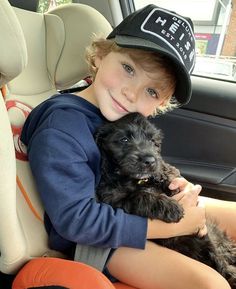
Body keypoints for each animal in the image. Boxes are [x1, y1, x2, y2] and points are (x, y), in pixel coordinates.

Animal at [95, 112, 236, 286]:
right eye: (124, 140)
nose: (150, 161)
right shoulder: (113, 198)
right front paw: (170, 207)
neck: (138, 180)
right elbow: (138, 196)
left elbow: (168, 171)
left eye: (152, 141)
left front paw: (168, 180)